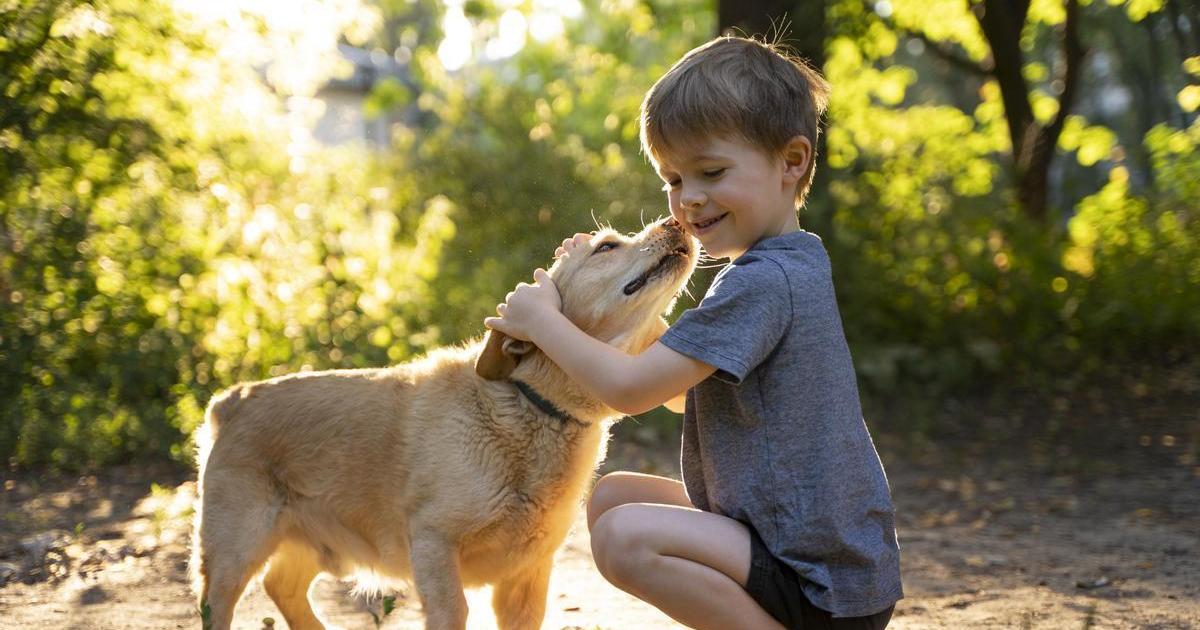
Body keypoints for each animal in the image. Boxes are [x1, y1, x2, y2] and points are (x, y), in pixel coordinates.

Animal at [190, 217, 700, 628]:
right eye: (606, 246)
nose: (676, 220)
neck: (532, 408)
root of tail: (232, 399)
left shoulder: (527, 577)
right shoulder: (433, 545)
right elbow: (454, 610)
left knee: (284, 588)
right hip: (234, 553)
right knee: (220, 605)